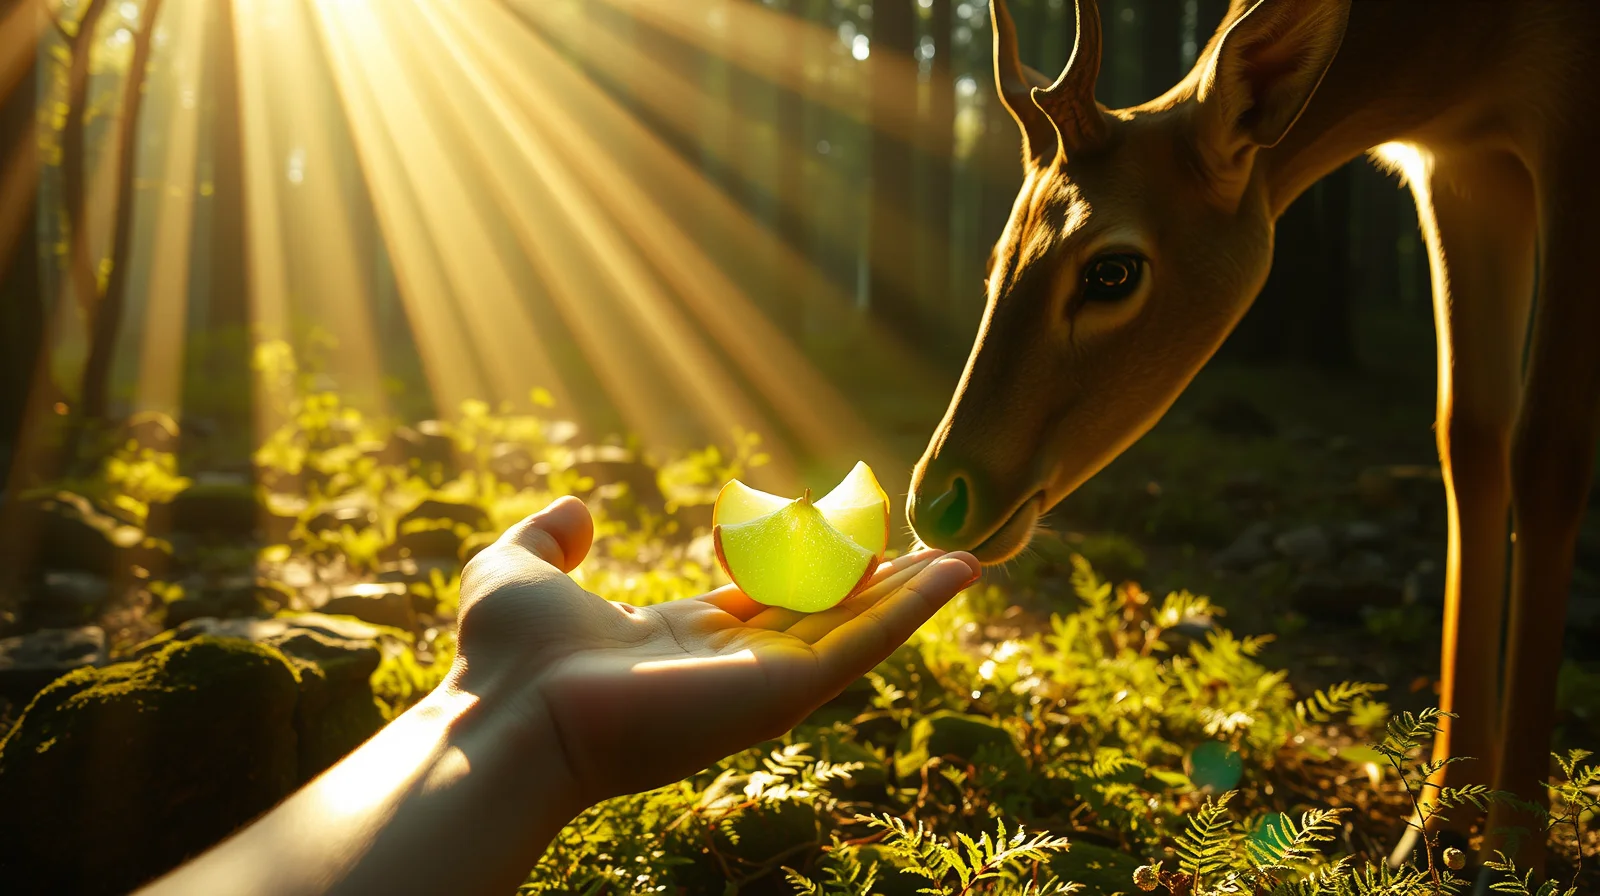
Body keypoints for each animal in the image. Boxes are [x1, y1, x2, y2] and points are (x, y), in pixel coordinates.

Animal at [906, 0, 1599, 883]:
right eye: (999, 255)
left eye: (1111, 271)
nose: (938, 499)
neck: (1467, 57)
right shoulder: (1457, 160)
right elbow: (1470, 435)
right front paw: (1431, 832)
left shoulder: (1573, 125)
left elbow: (1549, 449)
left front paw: (1515, 854)